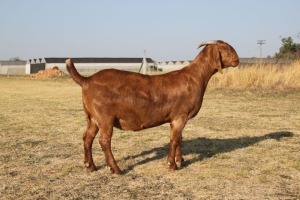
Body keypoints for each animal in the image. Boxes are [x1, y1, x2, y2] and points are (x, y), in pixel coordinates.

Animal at [65, 40, 239, 173]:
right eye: (224, 48)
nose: (237, 59)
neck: (195, 77)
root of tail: (87, 80)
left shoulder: (176, 118)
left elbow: (179, 138)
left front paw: (180, 160)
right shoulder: (180, 115)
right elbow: (175, 140)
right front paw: (172, 165)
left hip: (92, 117)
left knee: (87, 137)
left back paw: (90, 166)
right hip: (104, 116)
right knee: (104, 141)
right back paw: (116, 169)